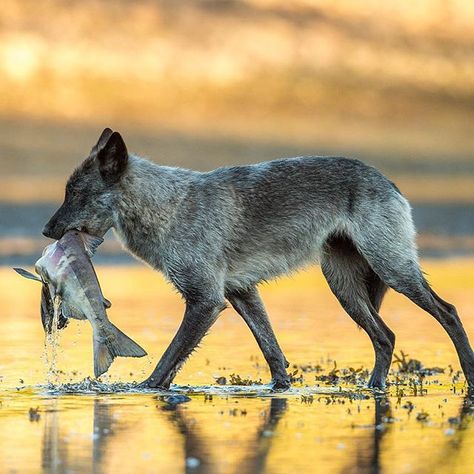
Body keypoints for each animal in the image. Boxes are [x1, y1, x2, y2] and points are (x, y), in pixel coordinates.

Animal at [43, 128, 474, 390]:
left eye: (76, 194)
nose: (47, 232)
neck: (170, 207)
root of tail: (387, 180)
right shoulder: (241, 293)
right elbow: (273, 352)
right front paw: (279, 391)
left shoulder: (206, 302)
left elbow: (168, 361)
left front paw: (146, 391)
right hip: (346, 289)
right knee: (386, 336)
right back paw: (373, 391)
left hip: (393, 271)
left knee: (448, 312)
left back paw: (467, 376)